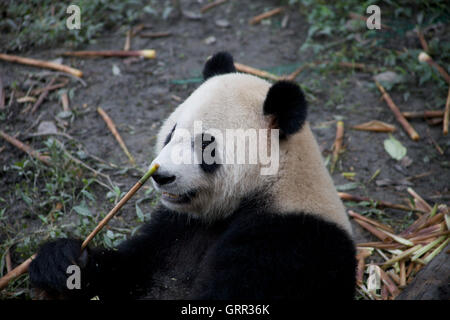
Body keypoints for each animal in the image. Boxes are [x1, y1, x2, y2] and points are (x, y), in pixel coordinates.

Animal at [29, 51, 356, 298]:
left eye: (205, 146)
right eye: (171, 133)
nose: (162, 177)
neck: (273, 184)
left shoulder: (287, 243)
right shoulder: (175, 228)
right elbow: (130, 270)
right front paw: (63, 260)